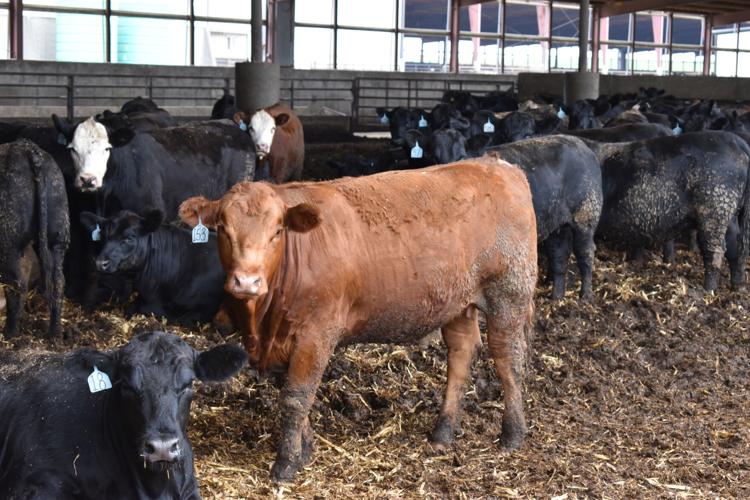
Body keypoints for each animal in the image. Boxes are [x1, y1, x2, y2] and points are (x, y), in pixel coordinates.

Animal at [0, 140, 69, 339]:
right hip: (58, 237)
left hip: (9, 243)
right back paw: (55, 334)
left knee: (17, 285)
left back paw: (10, 334)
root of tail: (27, 148)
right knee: (58, 281)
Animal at [179, 161, 538, 481]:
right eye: (223, 229)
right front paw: (304, 451)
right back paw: (443, 432)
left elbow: (296, 398)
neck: (263, 322)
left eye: (277, 232)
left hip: (509, 293)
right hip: (457, 304)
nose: (247, 281)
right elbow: (293, 393)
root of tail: (499, 166)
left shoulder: (317, 334)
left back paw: (512, 435)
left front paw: (285, 464)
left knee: (508, 360)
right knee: (461, 356)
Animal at [592, 131, 750, 291]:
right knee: (736, 247)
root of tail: (738, 143)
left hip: (715, 208)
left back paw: (708, 290)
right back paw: (738, 288)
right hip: (729, 216)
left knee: (715, 249)